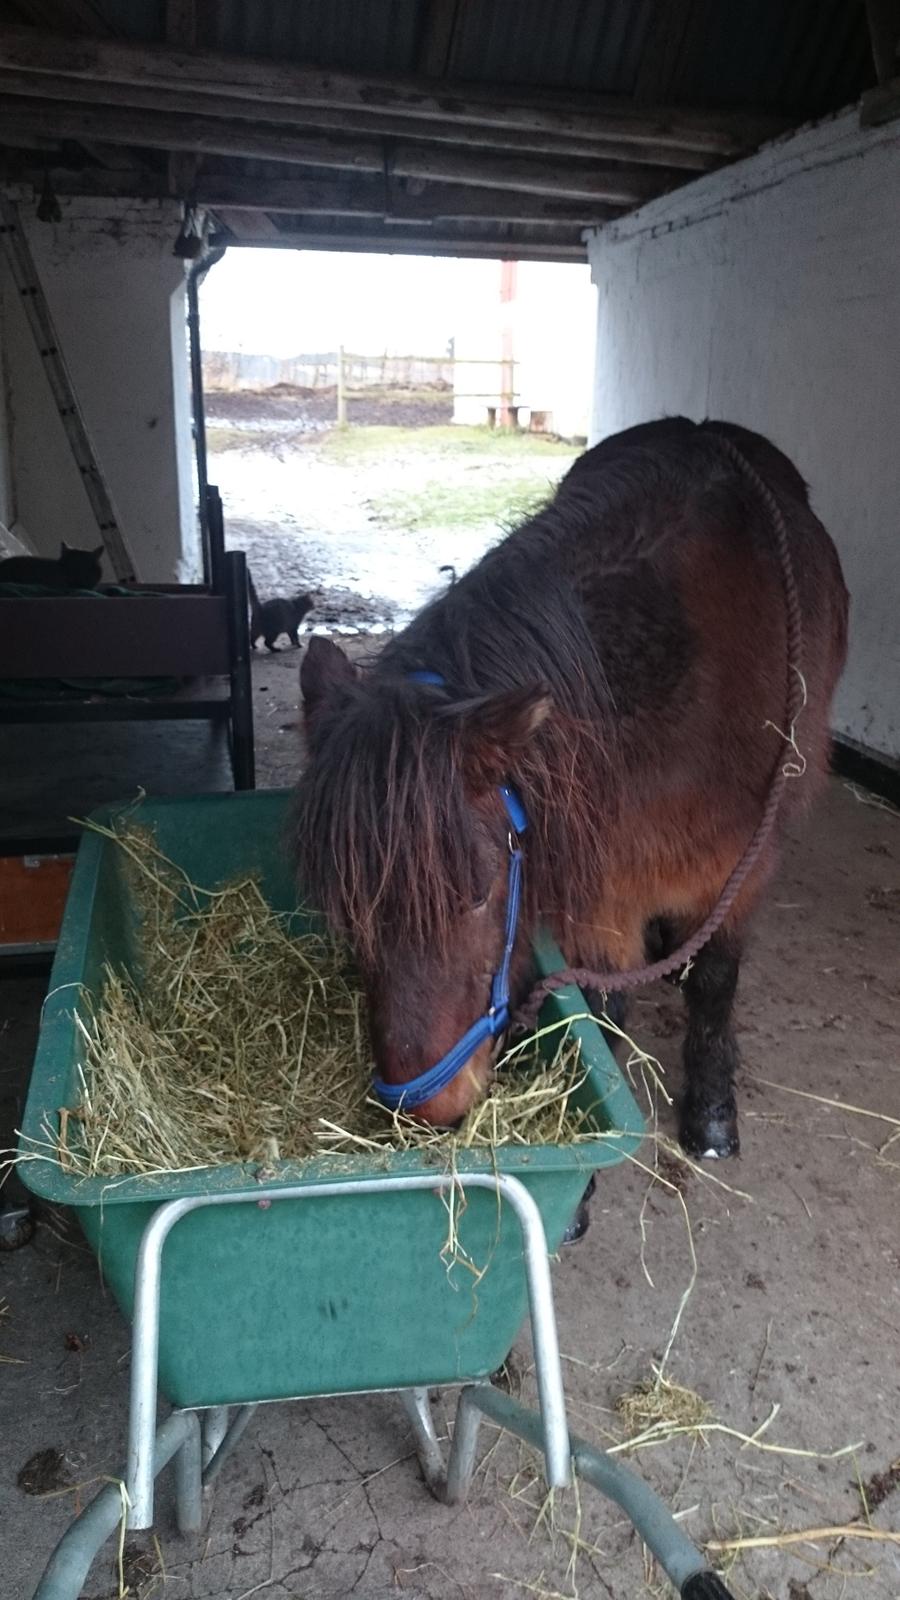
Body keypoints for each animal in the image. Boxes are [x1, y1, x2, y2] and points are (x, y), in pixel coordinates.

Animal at [293, 417, 848, 1166]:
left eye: (478, 894)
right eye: (345, 909)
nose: (427, 1112)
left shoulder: (742, 868)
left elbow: (714, 982)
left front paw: (710, 1115)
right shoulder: (606, 886)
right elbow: (604, 1006)